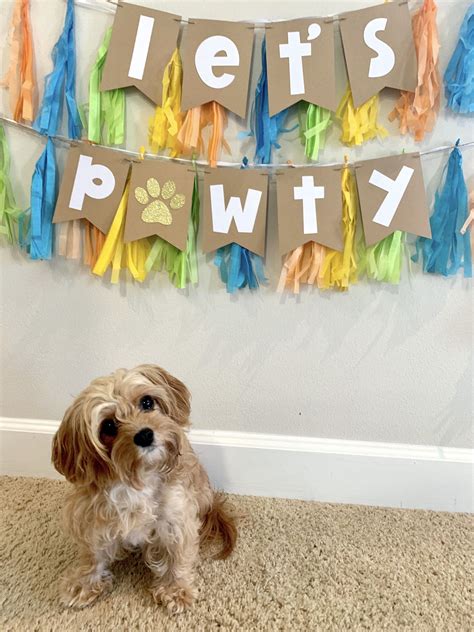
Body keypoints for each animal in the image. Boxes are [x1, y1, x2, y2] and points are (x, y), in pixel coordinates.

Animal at [51, 362, 237, 616]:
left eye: (147, 402)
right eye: (108, 425)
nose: (145, 434)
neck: (138, 478)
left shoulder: (176, 517)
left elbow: (178, 554)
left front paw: (176, 589)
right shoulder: (92, 518)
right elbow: (92, 555)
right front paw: (84, 583)